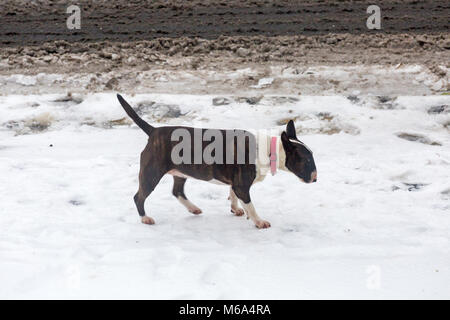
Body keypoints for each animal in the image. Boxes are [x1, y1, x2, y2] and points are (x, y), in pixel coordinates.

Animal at [118, 94, 318, 229]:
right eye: (307, 160)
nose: (316, 178)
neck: (269, 148)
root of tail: (153, 131)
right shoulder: (242, 185)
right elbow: (250, 205)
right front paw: (259, 221)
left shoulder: (235, 182)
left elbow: (233, 195)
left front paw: (235, 209)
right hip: (151, 173)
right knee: (139, 196)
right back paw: (145, 218)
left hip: (180, 172)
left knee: (177, 191)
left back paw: (193, 209)